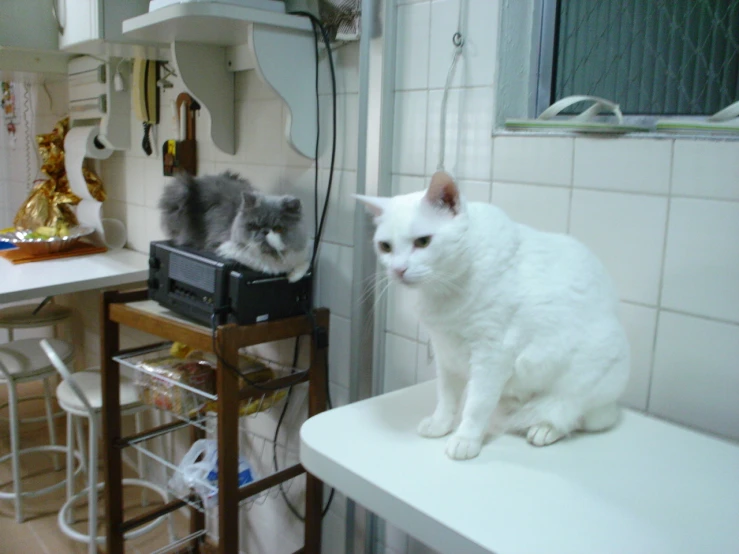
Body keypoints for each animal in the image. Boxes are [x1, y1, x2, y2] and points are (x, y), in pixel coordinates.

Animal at [159, 170, 310, 280]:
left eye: (278, 228)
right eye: (254, 226)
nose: (265, 231)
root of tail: (198, 180)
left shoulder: (301, 255)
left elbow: (304, 265)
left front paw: (292, 277)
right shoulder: (223, 247)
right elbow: (254, 260)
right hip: (180, 194)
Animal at [358, 171, 632, 458]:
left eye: (422, 241)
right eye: (385, 246)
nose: (398, 270)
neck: (447, 290)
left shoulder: (492, 354)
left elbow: (477, 403)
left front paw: (465, 438)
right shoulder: (445, 352)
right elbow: (446, 397)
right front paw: (440, 424)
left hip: (587, 378)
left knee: (571, 414)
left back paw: (544, 429)